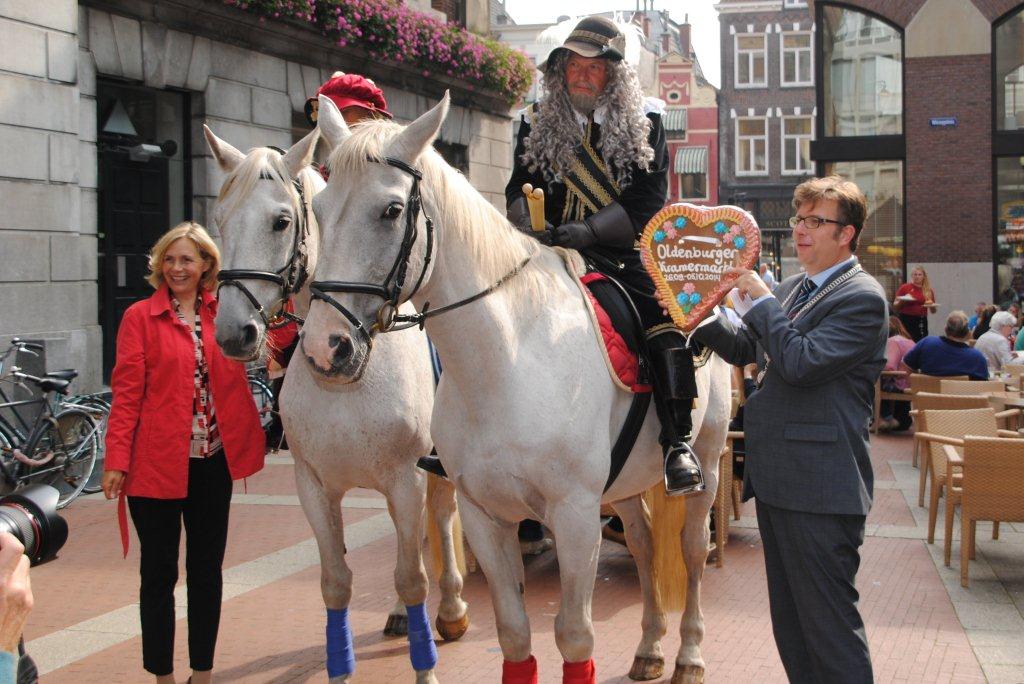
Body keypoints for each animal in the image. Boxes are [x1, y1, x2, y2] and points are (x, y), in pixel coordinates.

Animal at [200, 124, 471, 684]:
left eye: (281, 221)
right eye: (220, 220)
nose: (234, 333)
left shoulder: (405, 477)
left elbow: (413, 574)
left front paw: (426, 664)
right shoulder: (314, 486)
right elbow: (336, 581)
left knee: (439, 518)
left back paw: (452, 610)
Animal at [299, 93, 733, 679]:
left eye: (390, 210)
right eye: (319, 211)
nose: (326, 347)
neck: (503, 363)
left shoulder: (574, 516)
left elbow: (574, 637)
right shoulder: (485, 515)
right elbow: (513, 635)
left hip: (705, 463)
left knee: (690, 551)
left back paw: (688, 654)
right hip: (624, 484)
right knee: (643, 542)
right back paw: (649, 647)